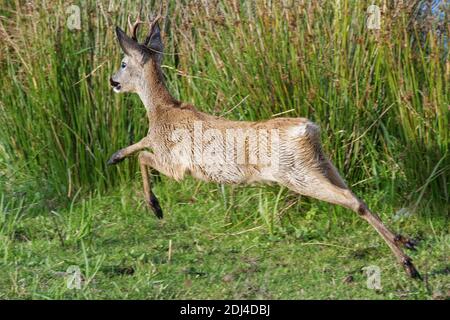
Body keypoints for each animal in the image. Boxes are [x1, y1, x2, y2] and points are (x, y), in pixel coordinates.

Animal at [108, 13, 422, 278]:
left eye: (123, 63)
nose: (112, 81)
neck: (163, 110)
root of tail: (309, 128)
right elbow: (141, 146)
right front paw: (115, 157)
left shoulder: (177, 164)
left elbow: (144, 156)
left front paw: (155, 206)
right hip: (323, 164)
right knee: (355, 193)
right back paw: (405, 241)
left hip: (296, 173)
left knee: (351, 200)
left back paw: (408, 265)